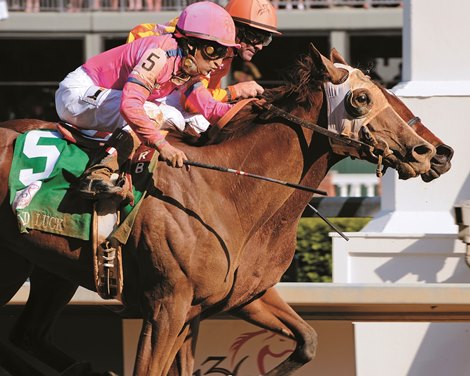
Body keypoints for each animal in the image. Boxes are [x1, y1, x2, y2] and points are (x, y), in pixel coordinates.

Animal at [0, 47, 450, 376]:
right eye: (362, 98)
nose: (432, 153)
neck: (227, 189)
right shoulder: (166, 306)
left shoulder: (233, 298)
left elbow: (306, 339)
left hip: (45, 269)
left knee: (23, 336)